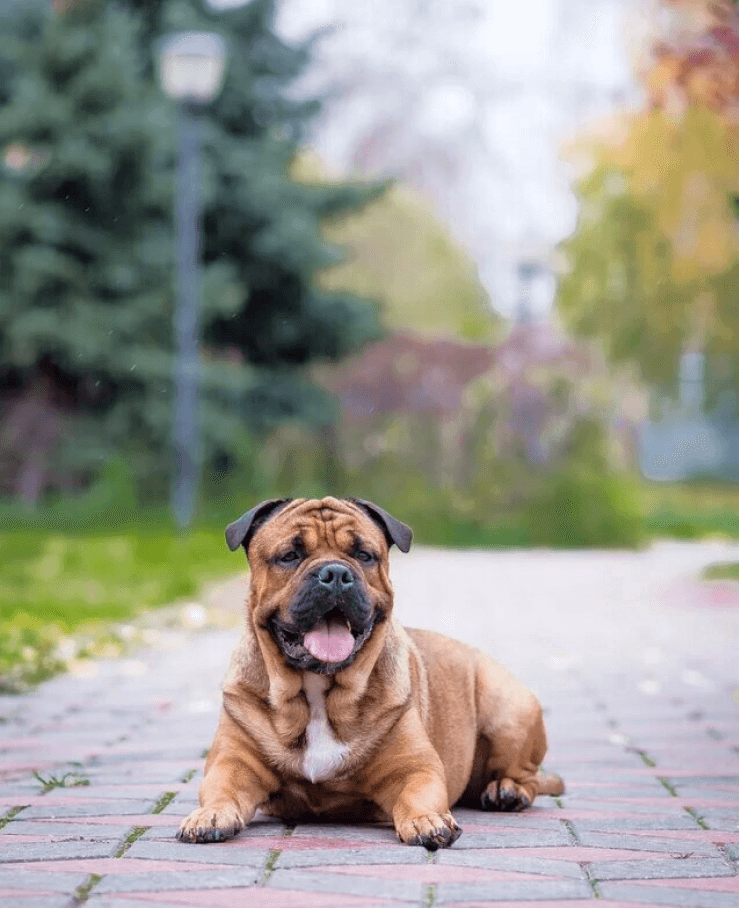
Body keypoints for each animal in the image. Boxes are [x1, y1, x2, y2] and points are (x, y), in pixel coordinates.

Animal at [176, 496, 564, 852]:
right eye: (289, 555)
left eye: (364, 555)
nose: (335, 573)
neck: (319, 692)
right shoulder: (232, 762)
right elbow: (221, 789)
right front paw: (209, 815)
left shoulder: (414, 768)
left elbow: (417, 795)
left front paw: (427, 820)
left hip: (507, 710)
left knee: (526, 775)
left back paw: (506, 791)